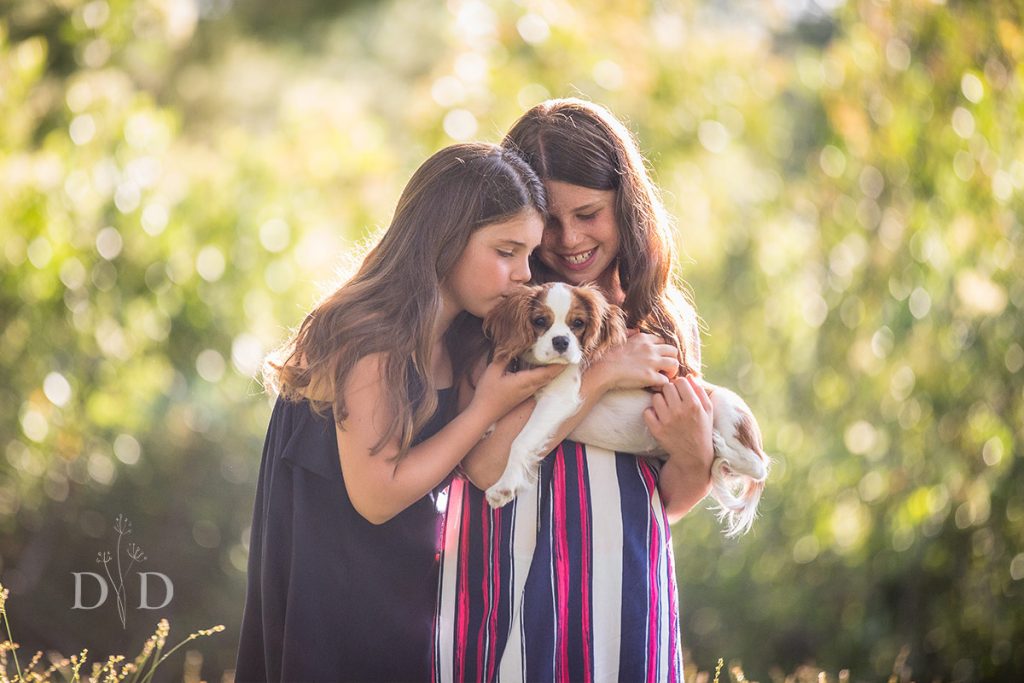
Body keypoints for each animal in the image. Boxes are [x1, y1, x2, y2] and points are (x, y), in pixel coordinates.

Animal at [479, 280, 770, 536]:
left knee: (758, 464)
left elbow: (521, 441)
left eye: (578, 323)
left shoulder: (560, 397)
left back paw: (717, 443)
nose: (561, 341)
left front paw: (504, 486)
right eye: (540, 321)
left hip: (724, 406)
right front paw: (487, 427)